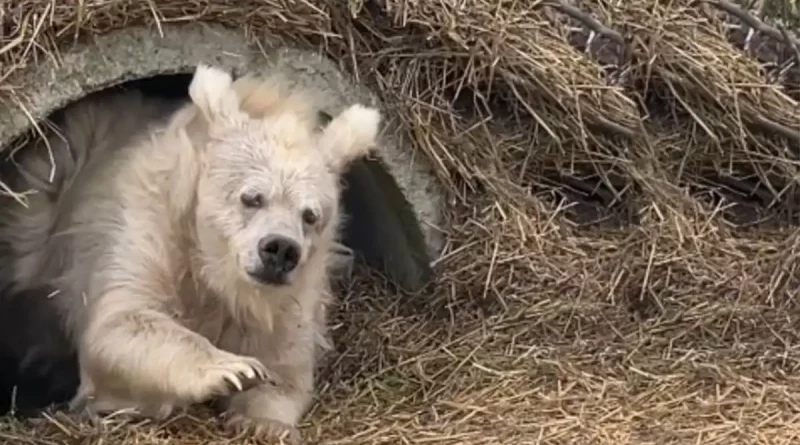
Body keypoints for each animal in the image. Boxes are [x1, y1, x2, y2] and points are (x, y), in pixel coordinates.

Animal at [0, 64, 384, 442]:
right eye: (252, 197)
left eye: (310, 215)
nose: (280, 250)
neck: (210, 269)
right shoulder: (148, 231)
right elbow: (121, 322)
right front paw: (233, 369)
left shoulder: (296, 293)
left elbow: (286, 364)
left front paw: (263, 421)